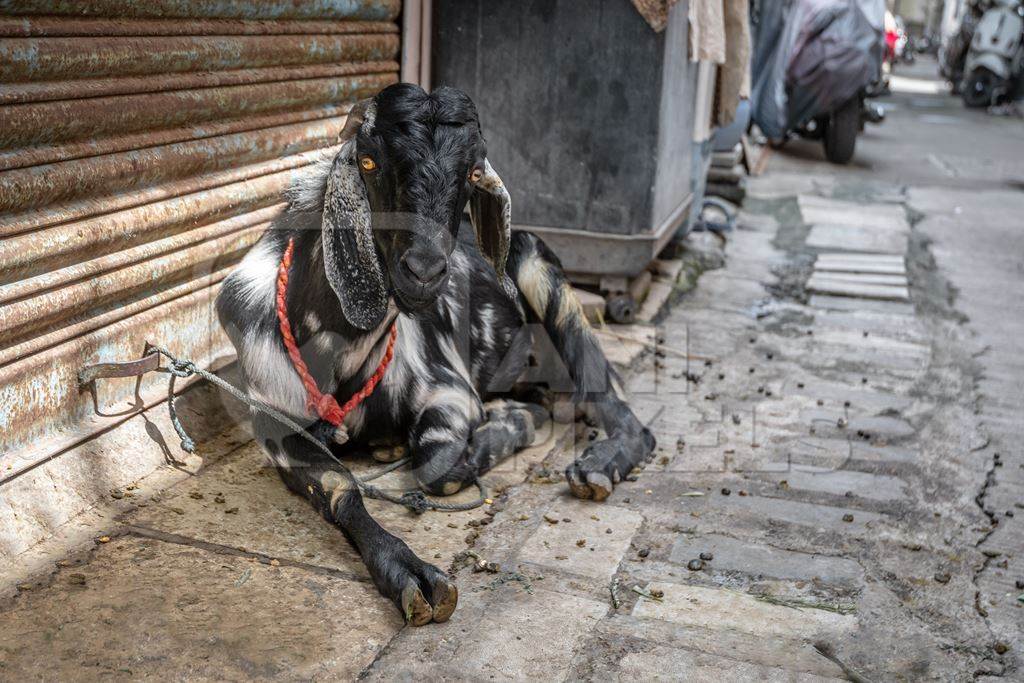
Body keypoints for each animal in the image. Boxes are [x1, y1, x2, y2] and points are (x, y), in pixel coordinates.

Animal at [217, 83, 655, 626]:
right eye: (368, 161)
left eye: (471, 173)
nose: (424, 272)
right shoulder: (276, 425)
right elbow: (340, 487)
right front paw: (407, 571)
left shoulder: (449, 387)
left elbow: (437, 467)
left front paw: (493, 438)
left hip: (542, 273)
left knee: (614, 405)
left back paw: (594, 460)